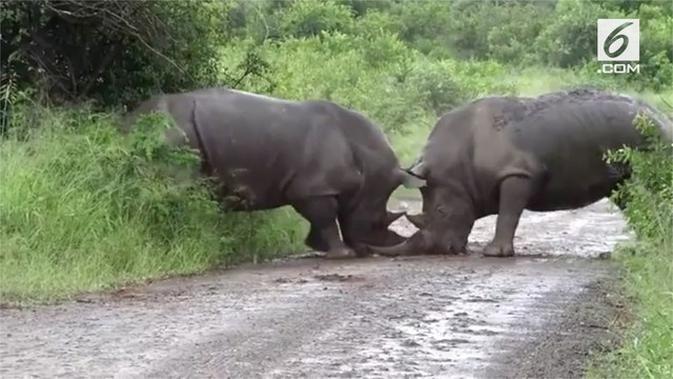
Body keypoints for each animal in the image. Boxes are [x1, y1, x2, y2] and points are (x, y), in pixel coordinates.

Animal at [125, 87, 420, 258]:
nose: (377, 248)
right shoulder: (314, 188)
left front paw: (320, 247)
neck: (367, 168)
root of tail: (129, 121)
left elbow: (324, 219)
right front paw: (343, 254)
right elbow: (327, 218)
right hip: (172, 135)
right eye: (378, 222)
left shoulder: (316, 189)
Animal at [370, 88, 668, 258]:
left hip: (650, 139)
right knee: (627, 194)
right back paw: (642, 248)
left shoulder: (518, 173)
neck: (458, 165)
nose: (443, 251)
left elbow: (509, 213)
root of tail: (664, 117)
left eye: (442, 211)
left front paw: (494, 254)